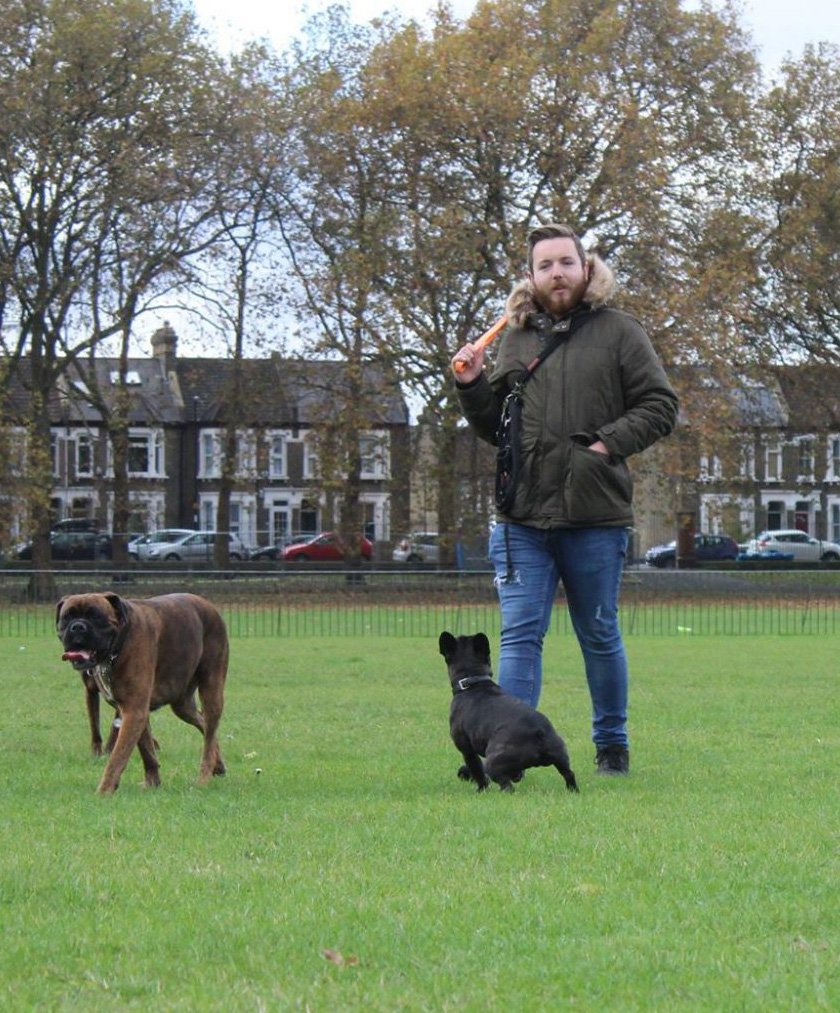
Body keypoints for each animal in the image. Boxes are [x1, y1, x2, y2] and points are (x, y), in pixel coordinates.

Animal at [56, 591, 227, 794]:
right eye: (67, 617)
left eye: (96, 616)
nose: (77, 627)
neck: (115, 649)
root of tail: (209, 605)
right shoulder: (134, 710)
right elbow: (147, 751)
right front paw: (153, 782)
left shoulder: (134, 711)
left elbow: (117, 756)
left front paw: (104, 791)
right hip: (183, 704)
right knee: (204, 723)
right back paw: (218, 765)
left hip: (212, 691)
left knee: (209, 736)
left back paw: (203, 778)